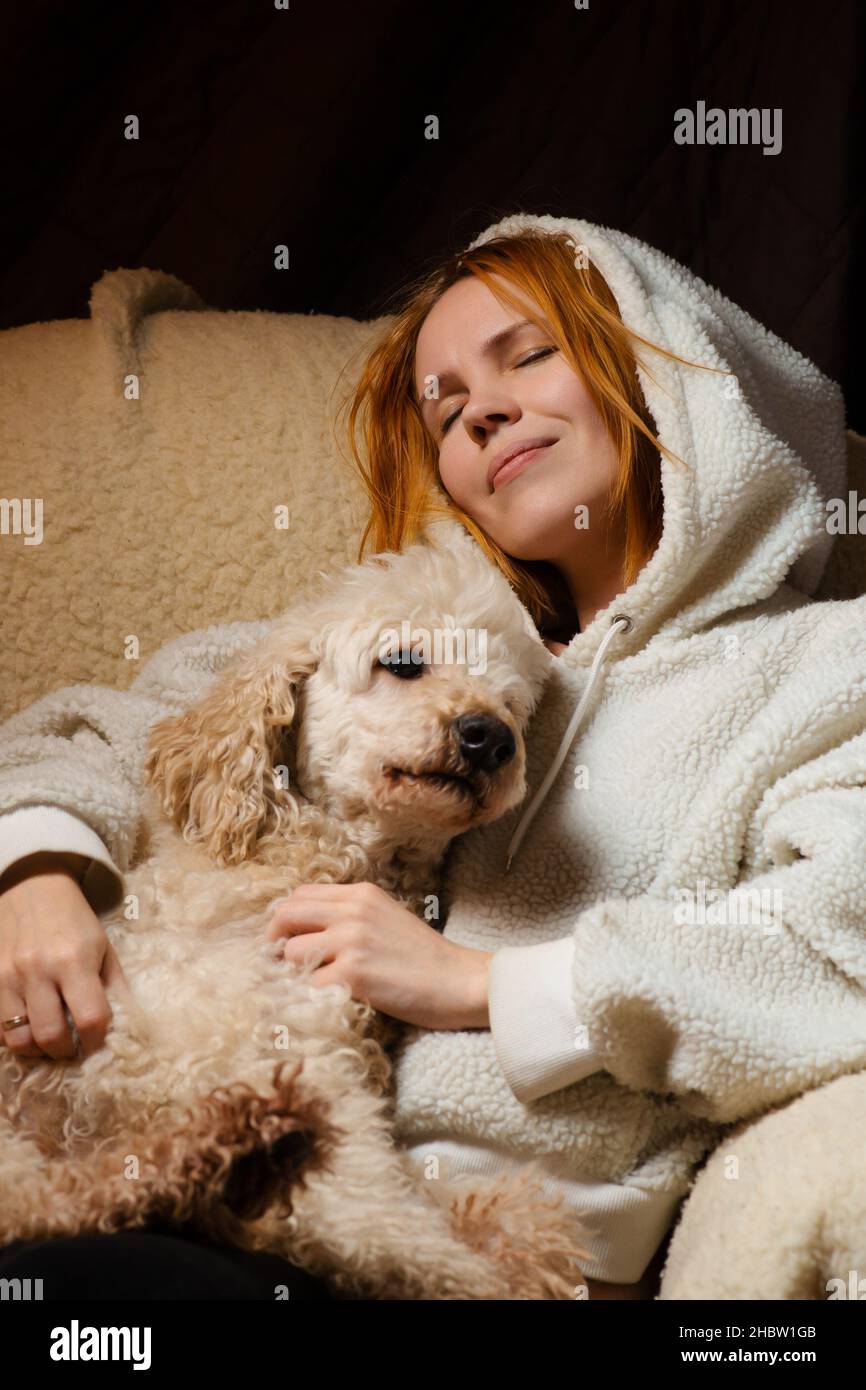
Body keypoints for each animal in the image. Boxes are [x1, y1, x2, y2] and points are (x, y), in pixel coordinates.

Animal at [0, 519, 594, 1289]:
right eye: (402, 662)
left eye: (513, 703)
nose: (490, 736)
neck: (320, 859)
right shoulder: (286, 1054)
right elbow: (405, 1243)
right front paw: (493, 1264)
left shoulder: (315, 1054)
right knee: (48, 1203)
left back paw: (234, 1149)